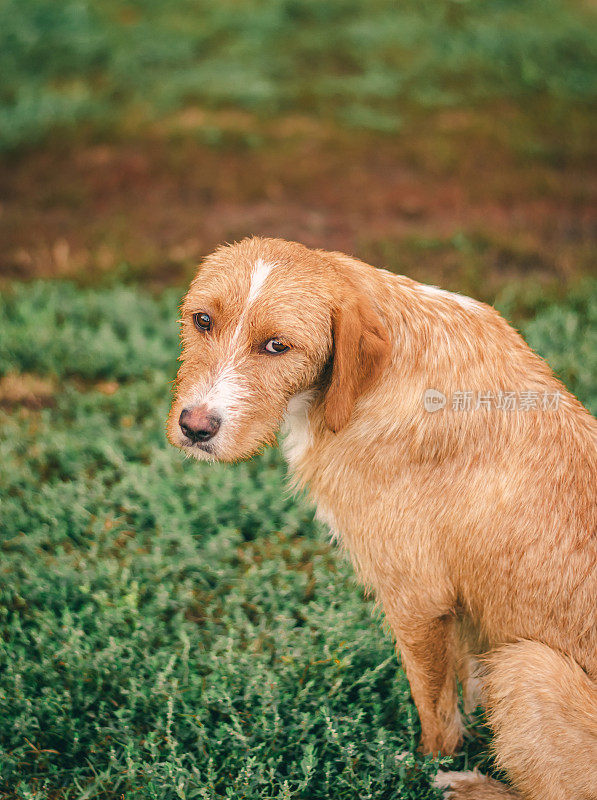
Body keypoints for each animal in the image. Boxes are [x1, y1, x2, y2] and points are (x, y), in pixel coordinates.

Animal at [168, 234, 596, 796]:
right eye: (202, 321)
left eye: (277, 346)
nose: (195, 428)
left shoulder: (417, 599)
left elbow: (435, 709)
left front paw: (425, 765)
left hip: (530, 666)